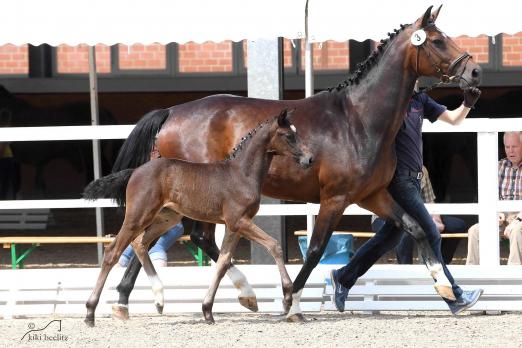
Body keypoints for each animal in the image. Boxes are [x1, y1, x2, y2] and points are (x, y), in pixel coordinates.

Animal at [83, 107, 310, 324]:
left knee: (140, 243)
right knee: (112, 252)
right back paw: (90, 312)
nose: (309, 159)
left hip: (167, 218)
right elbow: (274, 245)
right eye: (288, 135)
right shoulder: (239, 221)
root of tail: (135, 172)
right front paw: (287, 297)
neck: (241, 174)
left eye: (297, 132)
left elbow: (223, 264)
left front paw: (208, 311)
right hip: (137, 216)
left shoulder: (235, 226)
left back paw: (159, 299)